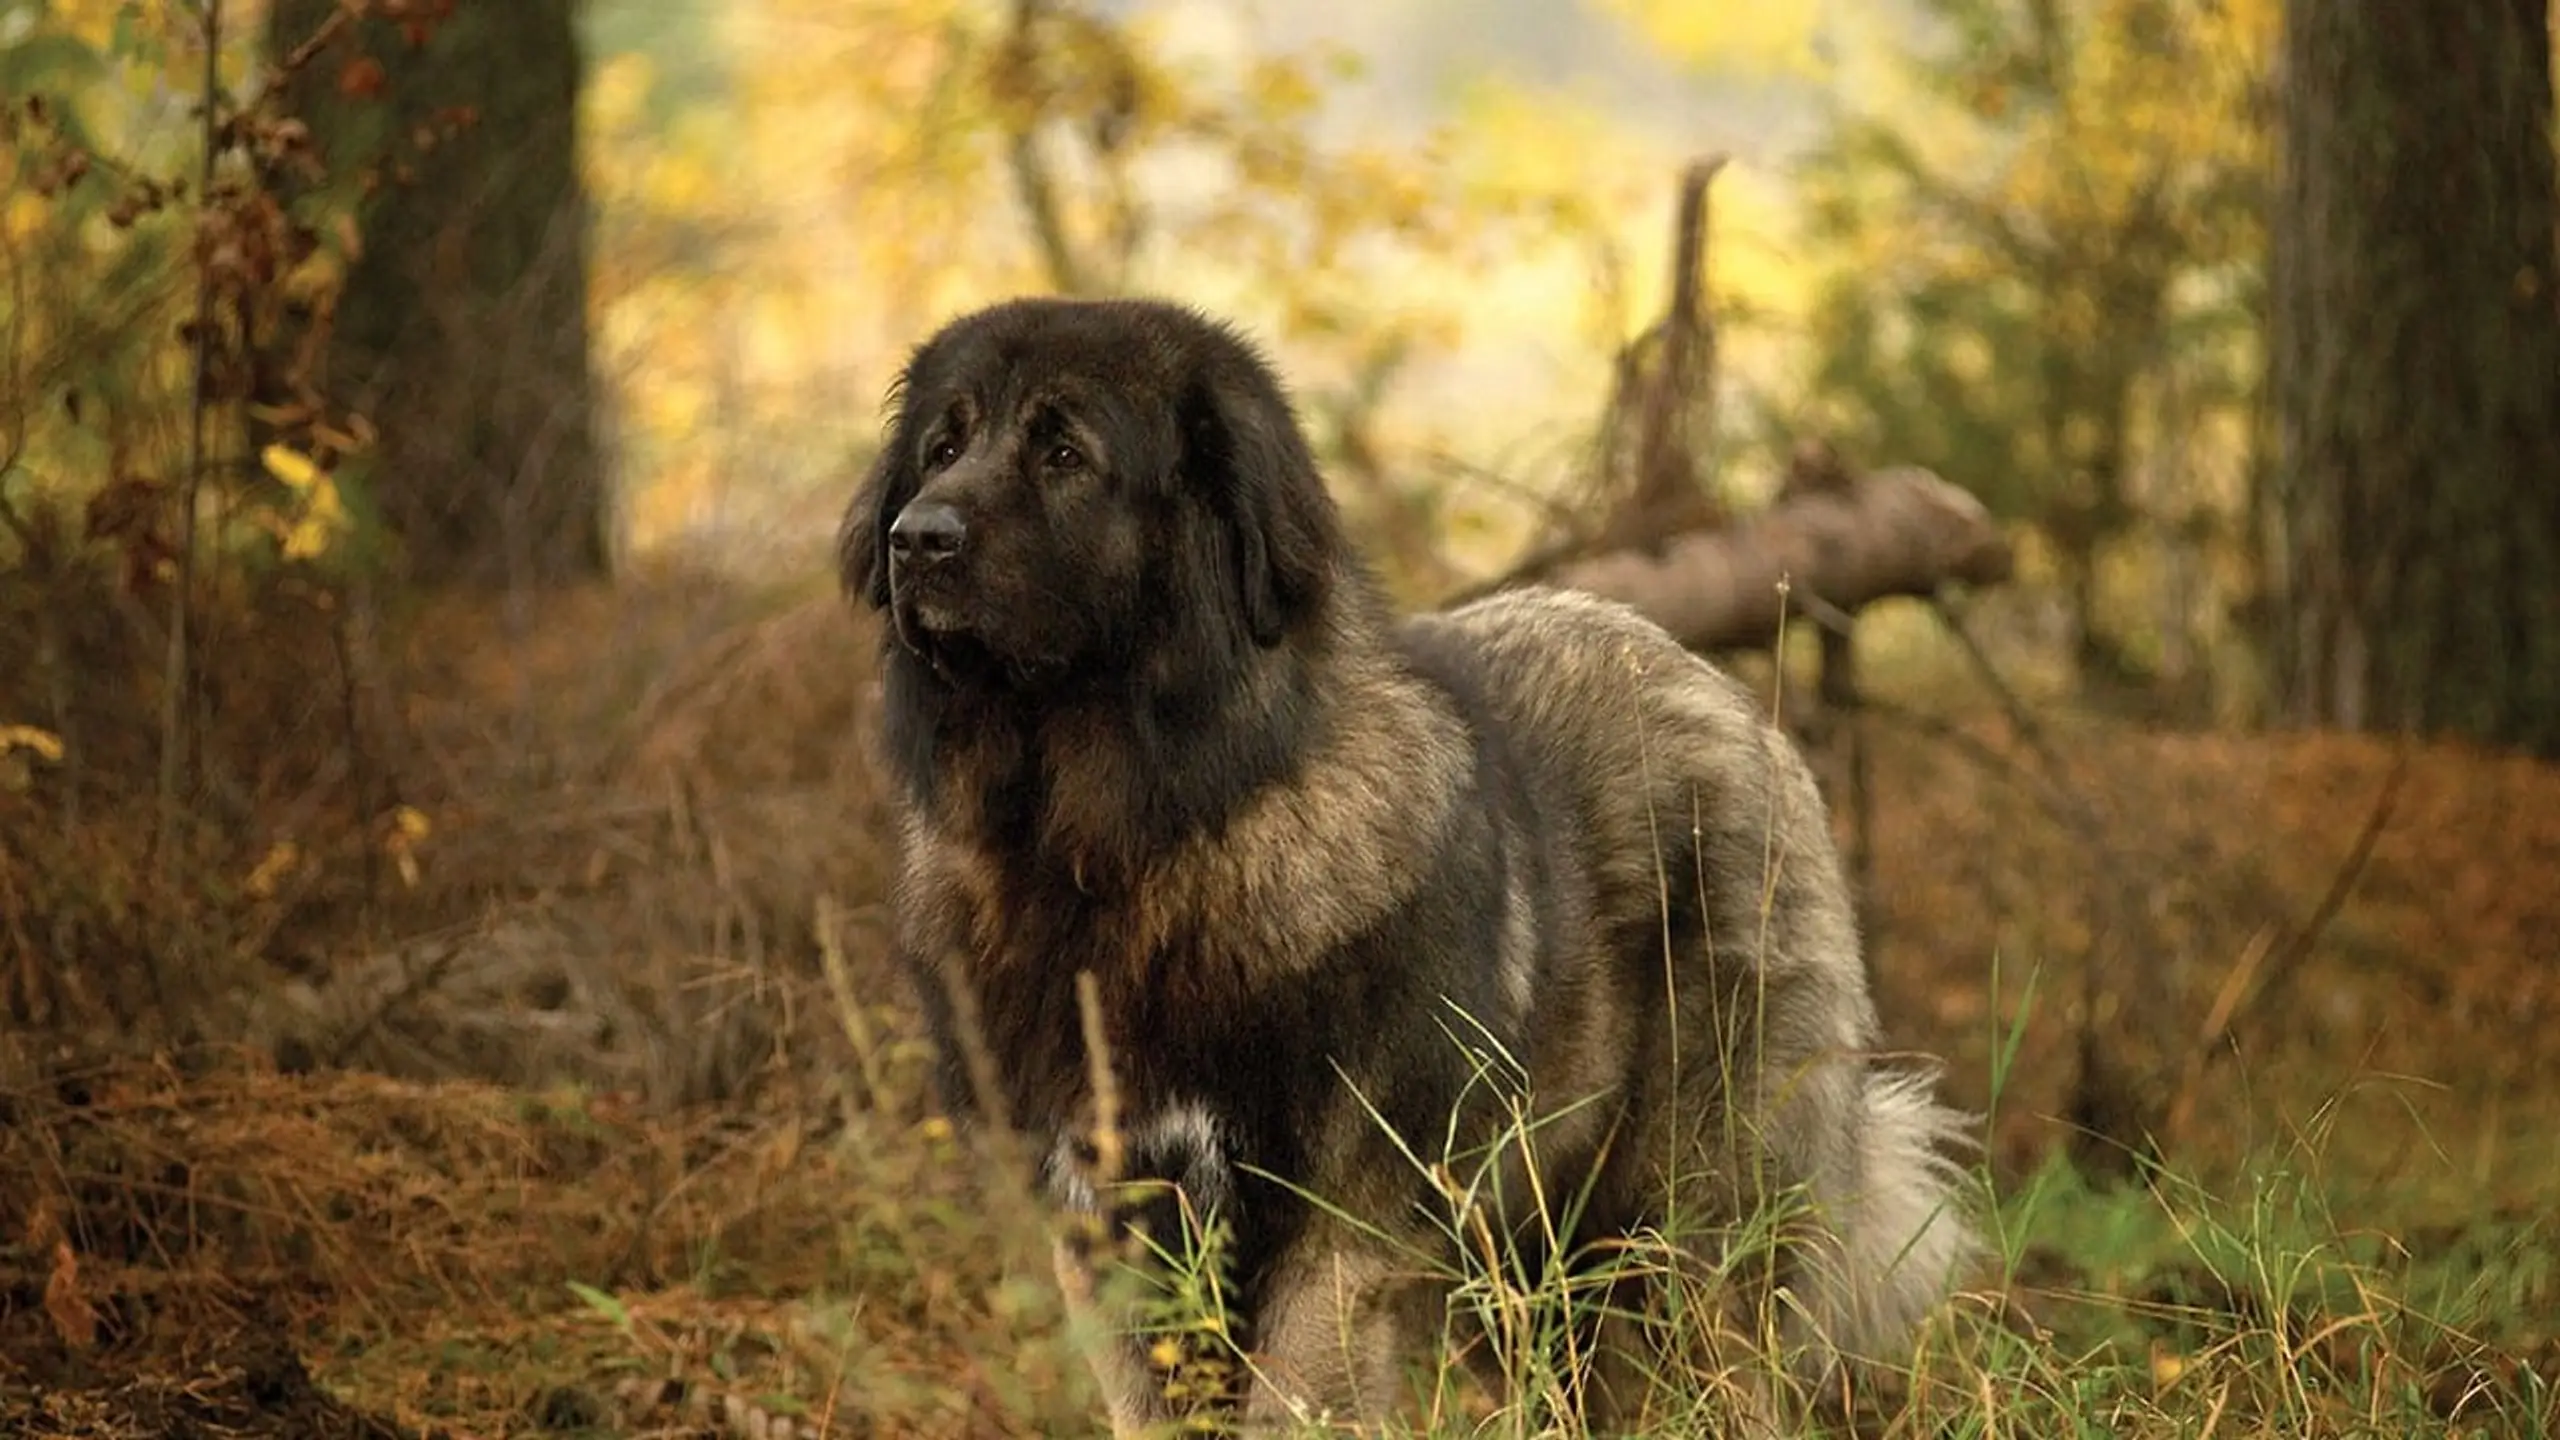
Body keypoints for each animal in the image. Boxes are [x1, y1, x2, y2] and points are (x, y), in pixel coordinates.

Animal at [829, 297, 1966, 1424]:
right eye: (943, 446)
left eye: (1064, 452)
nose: (916, 536)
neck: (1135, 840)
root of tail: (1711, 684)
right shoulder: (1110, 1225)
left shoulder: (1338, 1233)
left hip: (1683, 1220)